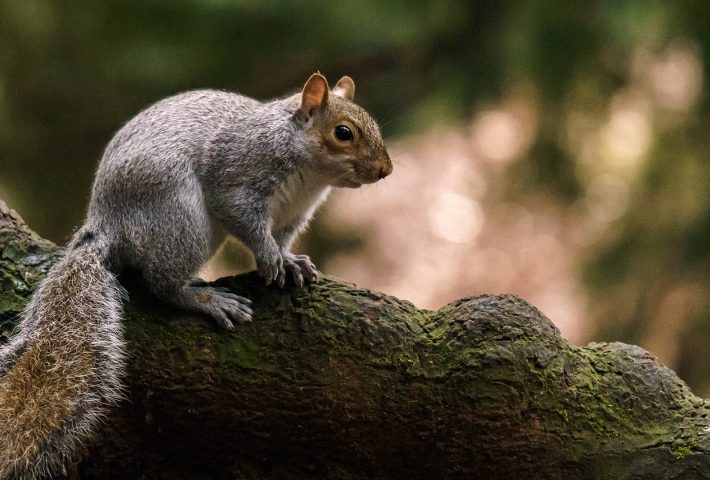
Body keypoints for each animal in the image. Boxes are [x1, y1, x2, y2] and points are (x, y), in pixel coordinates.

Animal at [0, 73, 394, 478]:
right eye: (343, 133)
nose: (385, 170)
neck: (309, 178)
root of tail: (107, 224)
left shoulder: (293, 215)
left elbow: (282, 239)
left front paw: (289, 261)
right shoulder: (240, 178)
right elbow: (244, 220)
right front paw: (269, 259)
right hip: (183, 221)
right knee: (162, 283)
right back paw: (206, 300)